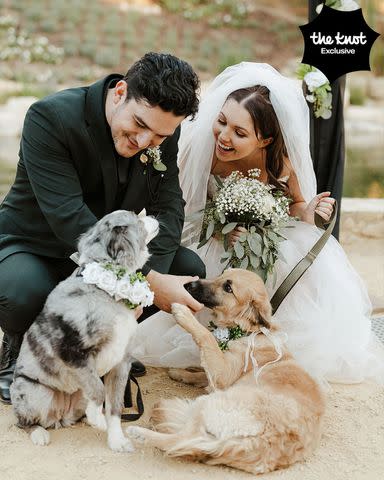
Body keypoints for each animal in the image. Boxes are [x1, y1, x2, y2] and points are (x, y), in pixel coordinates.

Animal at [10, 209, 158, 450]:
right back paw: (40, 433)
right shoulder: (73, 351)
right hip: (34, 392)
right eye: (136, 218)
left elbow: (115, 408)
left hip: (78, 396)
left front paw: (116, 441)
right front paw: (98, 419)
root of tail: (59, 417)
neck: (106, 291)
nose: (153, 216)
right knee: (23, 422)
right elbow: (98, 390)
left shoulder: (121, 362)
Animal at [127, 268, 326, 474]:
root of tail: (263, 444)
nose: (188, 285)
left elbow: (206, 338)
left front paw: (184, 314)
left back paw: (140, 433)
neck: (250, 331)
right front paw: (180, 373)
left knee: (182, 439)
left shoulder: (222, 374)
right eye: (222, 274)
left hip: (208, 403)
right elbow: (201, 372)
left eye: (228, 288)